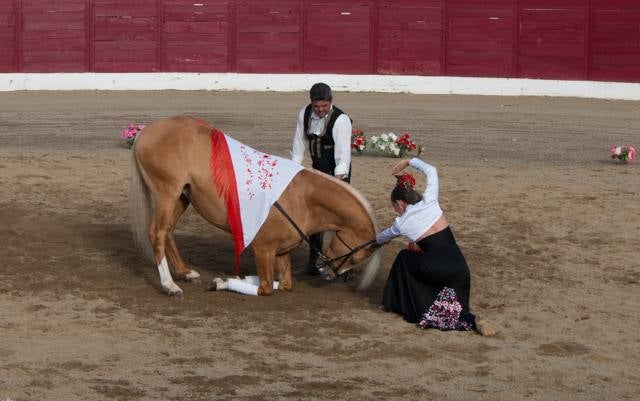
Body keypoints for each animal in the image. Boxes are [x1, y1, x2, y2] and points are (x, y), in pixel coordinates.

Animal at [127, 116, 382, 296]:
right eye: (356, 257)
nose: (327, 272)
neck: (303, 198)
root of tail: (146, 131)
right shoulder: (263, 250)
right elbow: (265, 287)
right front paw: (224, 283)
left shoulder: (282, 252)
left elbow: (284, 284)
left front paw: (232, 279)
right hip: (167, 193)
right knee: (157, 233)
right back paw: (169, 285)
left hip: (182, 197)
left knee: (168, 231)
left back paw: (184, 273)